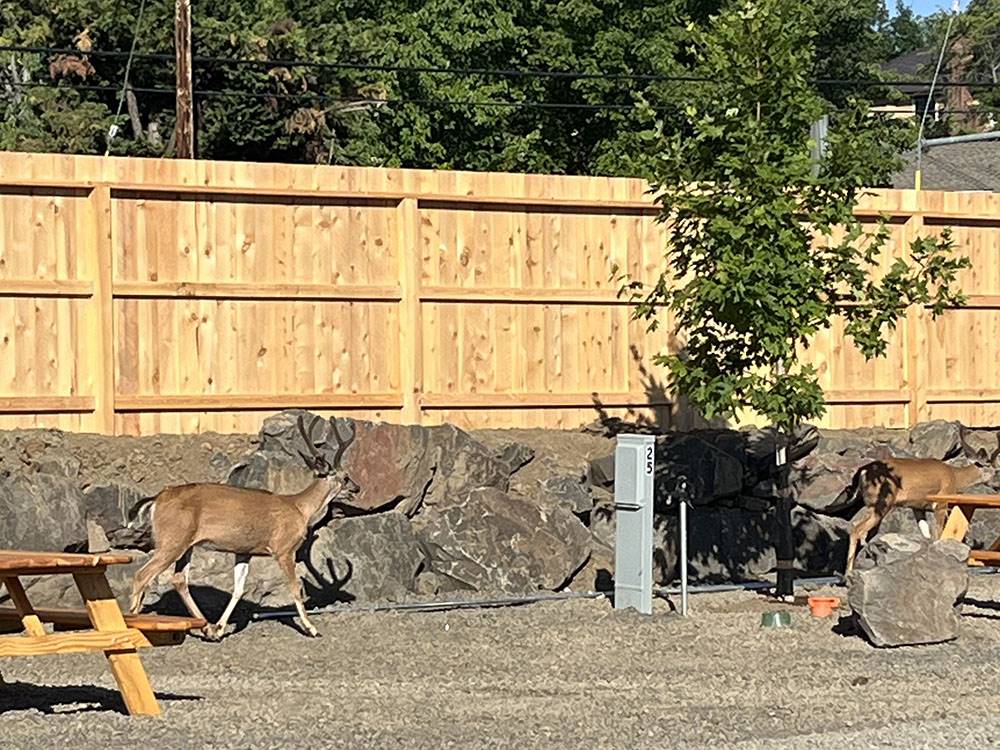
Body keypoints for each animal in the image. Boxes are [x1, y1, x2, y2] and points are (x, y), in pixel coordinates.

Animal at [127, 414, 357, 640]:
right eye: (345, 477)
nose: (357, 487)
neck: (299, 508)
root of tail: (156, 499)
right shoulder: (284, 549)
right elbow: (295, 588)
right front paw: (312, 628)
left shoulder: (244, 551)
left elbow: (238, 589)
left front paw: (220, 628)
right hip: (172, 541)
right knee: (142, 575)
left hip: (185, 544)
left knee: (179, 579)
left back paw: (207, 628)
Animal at [844, 457, 990, 575]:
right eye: (992, 466)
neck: (955, 476)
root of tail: (863, 472)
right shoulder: (941, 503)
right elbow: (938, 533)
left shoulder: (917, 507)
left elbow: (926, 533)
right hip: (881, 501)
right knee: (857, 528)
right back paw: (848, 572)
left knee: (857, 526)